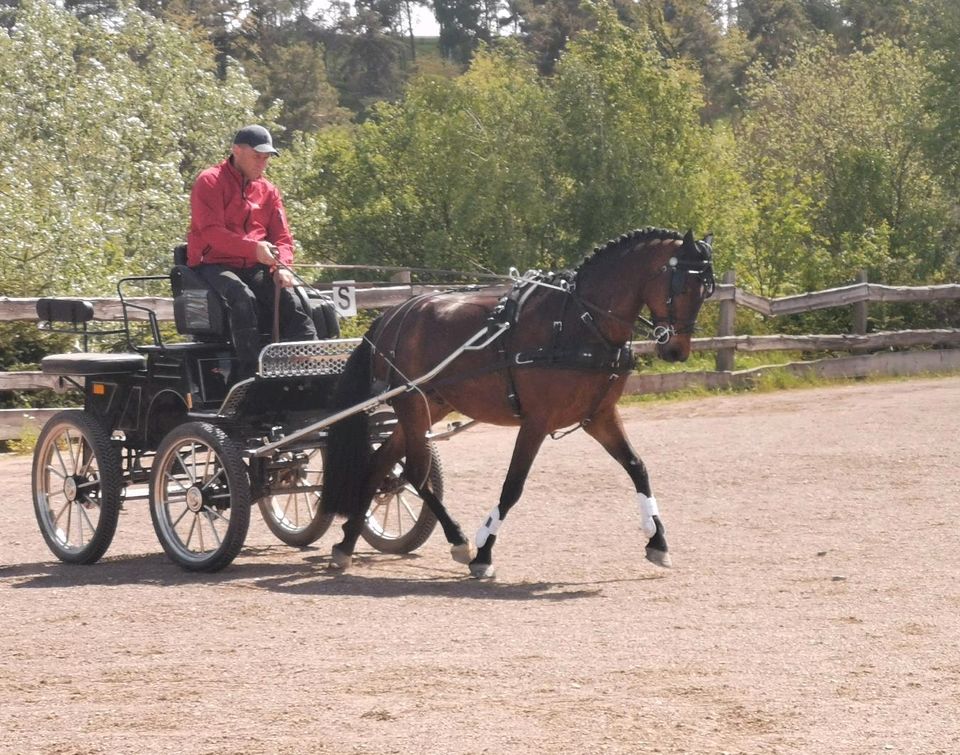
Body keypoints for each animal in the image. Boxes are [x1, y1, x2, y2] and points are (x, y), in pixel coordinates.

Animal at [320, 227, 712, 576]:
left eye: (706, 291)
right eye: (681, 285)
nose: (677, 350)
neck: (579, 321)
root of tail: (391, 316)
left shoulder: (599, 415)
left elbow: (637, 467)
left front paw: (658, 541)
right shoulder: (537, 421)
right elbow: (513, 486)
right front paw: (483, 552)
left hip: (429, 405)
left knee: (380, 463)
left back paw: (346, 545)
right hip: (412, 405)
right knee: (415, 474)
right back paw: (458, 540)